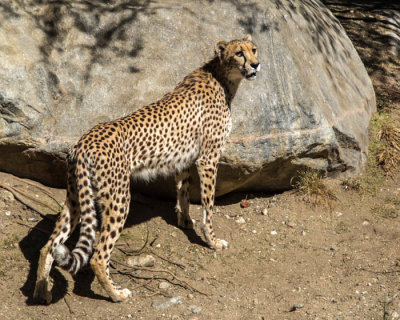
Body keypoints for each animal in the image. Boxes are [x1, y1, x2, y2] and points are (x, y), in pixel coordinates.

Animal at [33, 34, 260, 302]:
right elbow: (209, 207)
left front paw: (184, 221)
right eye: (239, 53)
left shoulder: (184, 160)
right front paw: (212, 241)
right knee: (98, 255)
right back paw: (116, 294)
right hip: (118, 198)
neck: (222, 76)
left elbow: (183, 192)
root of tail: (84, 141)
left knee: (48, 245)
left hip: (76, 197)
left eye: (254, 49)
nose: (256, 64)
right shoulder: (207, 159)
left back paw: (41, 291)